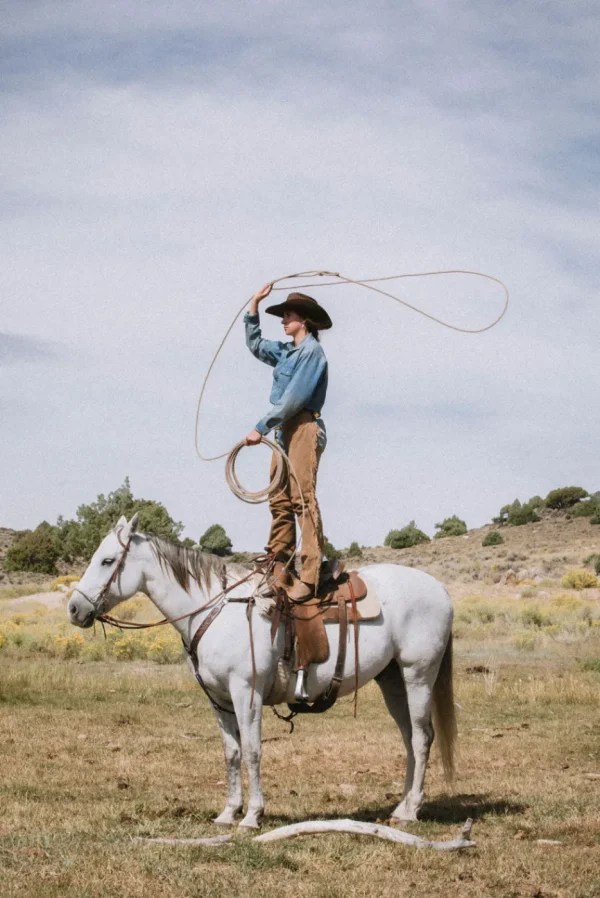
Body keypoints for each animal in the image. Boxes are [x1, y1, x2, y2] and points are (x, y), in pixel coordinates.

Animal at [68, 516, 458, 828]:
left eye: (107, 560)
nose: (74, 609)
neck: (215, 610)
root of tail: (440, 589)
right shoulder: (219, 700)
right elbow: (232, 753)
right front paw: (229, 813)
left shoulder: (246, 692)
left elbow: (253, 750)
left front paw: (253, 816)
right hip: (391, 679)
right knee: (409, 737)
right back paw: (401, 807)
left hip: (418, 674)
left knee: (422, 737)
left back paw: (411, 811)